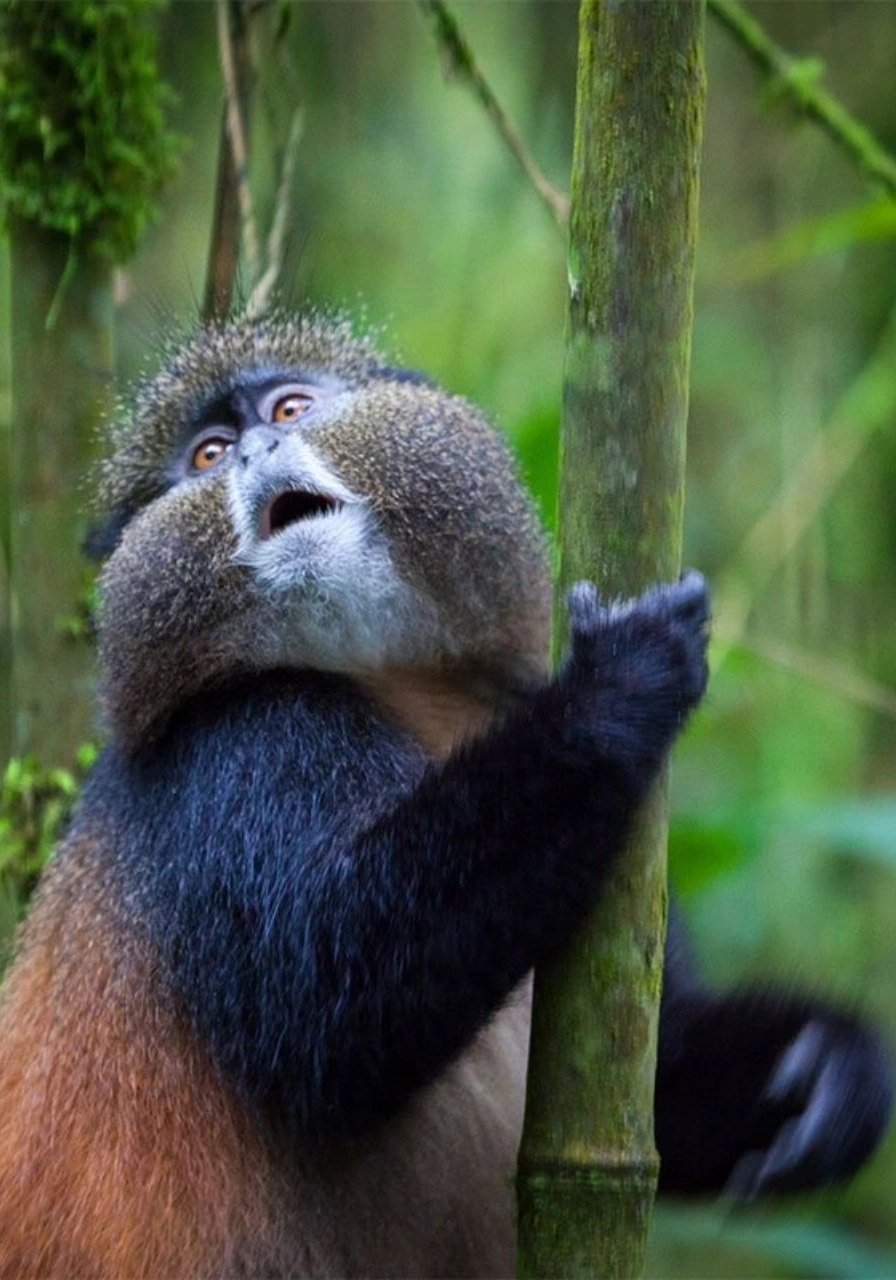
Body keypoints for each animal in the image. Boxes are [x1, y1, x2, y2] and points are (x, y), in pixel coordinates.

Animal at [0, 314, 890, 1278]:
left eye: (288, 409)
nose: (256, 451)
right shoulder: (236, 744)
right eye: (207, 455)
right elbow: (330, 1010)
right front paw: (612, 692)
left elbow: (663, 1084)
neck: (398, 685)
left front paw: (826, 1070)